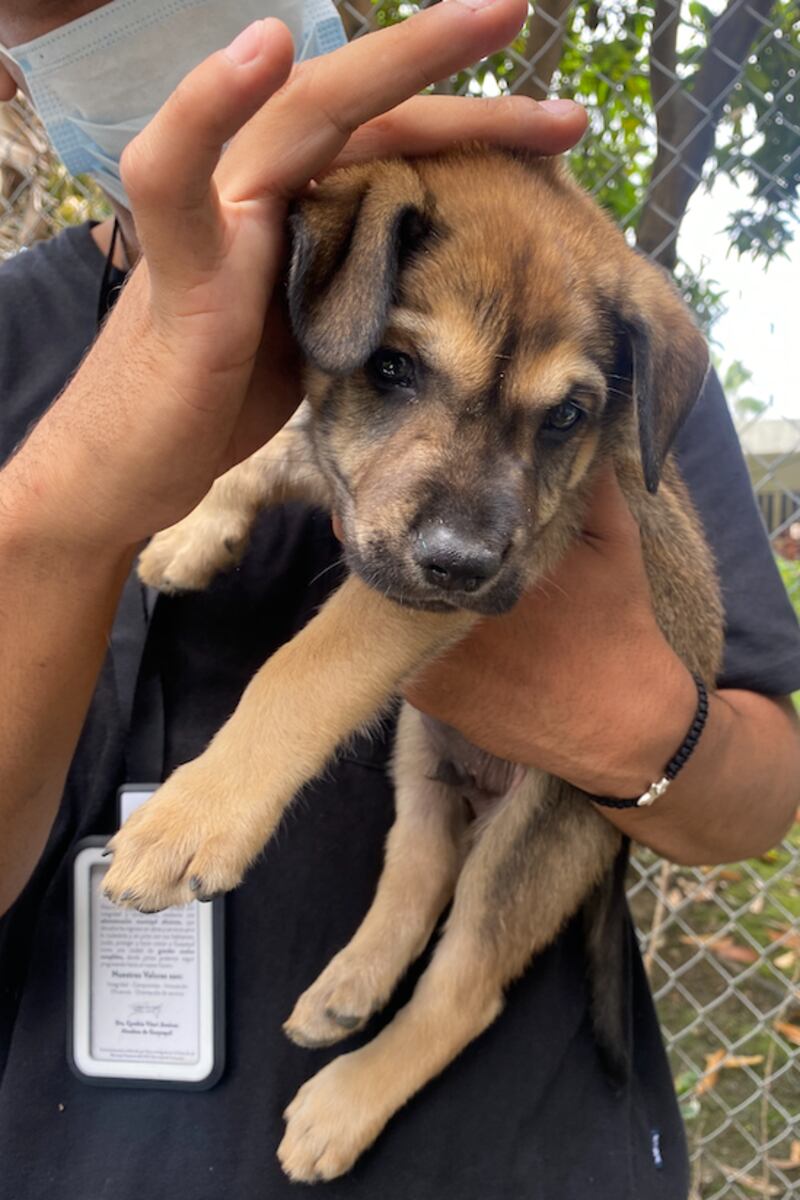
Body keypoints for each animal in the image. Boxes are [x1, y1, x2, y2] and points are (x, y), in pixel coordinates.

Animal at [103, 147, 724, 1180]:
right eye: (391, 368)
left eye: (568, 417)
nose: (461, 564)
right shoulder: (354, 485)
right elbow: (274, 449)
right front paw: (194, 534)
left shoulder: (429, 592)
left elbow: (306, 668)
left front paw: (194, 817)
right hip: (424, 760)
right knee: (419, 867)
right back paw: (347, 989)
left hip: (534, 839)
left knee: (464, 986)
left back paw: (344, 1104)